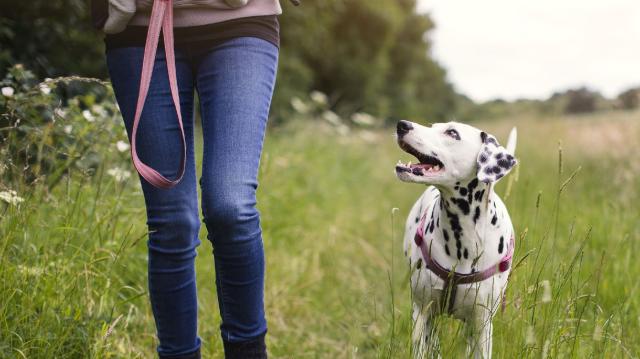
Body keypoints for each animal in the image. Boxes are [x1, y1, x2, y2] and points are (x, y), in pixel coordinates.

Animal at [392, 121, 516, 359]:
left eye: (452, 132)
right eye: (433, 126)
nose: (402, 125)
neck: (462, 242)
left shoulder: (482, 325)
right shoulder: (422, 313)